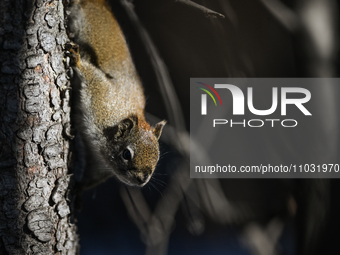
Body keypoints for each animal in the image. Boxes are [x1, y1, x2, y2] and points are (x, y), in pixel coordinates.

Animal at [65, 0, 166, 188]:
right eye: (127, 154)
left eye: (157, 158)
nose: (142, 180)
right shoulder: (101, 98)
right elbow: (91, 76)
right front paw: (78, 60)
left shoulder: (99, 166)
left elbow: (89, 178)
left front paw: (76, 188)